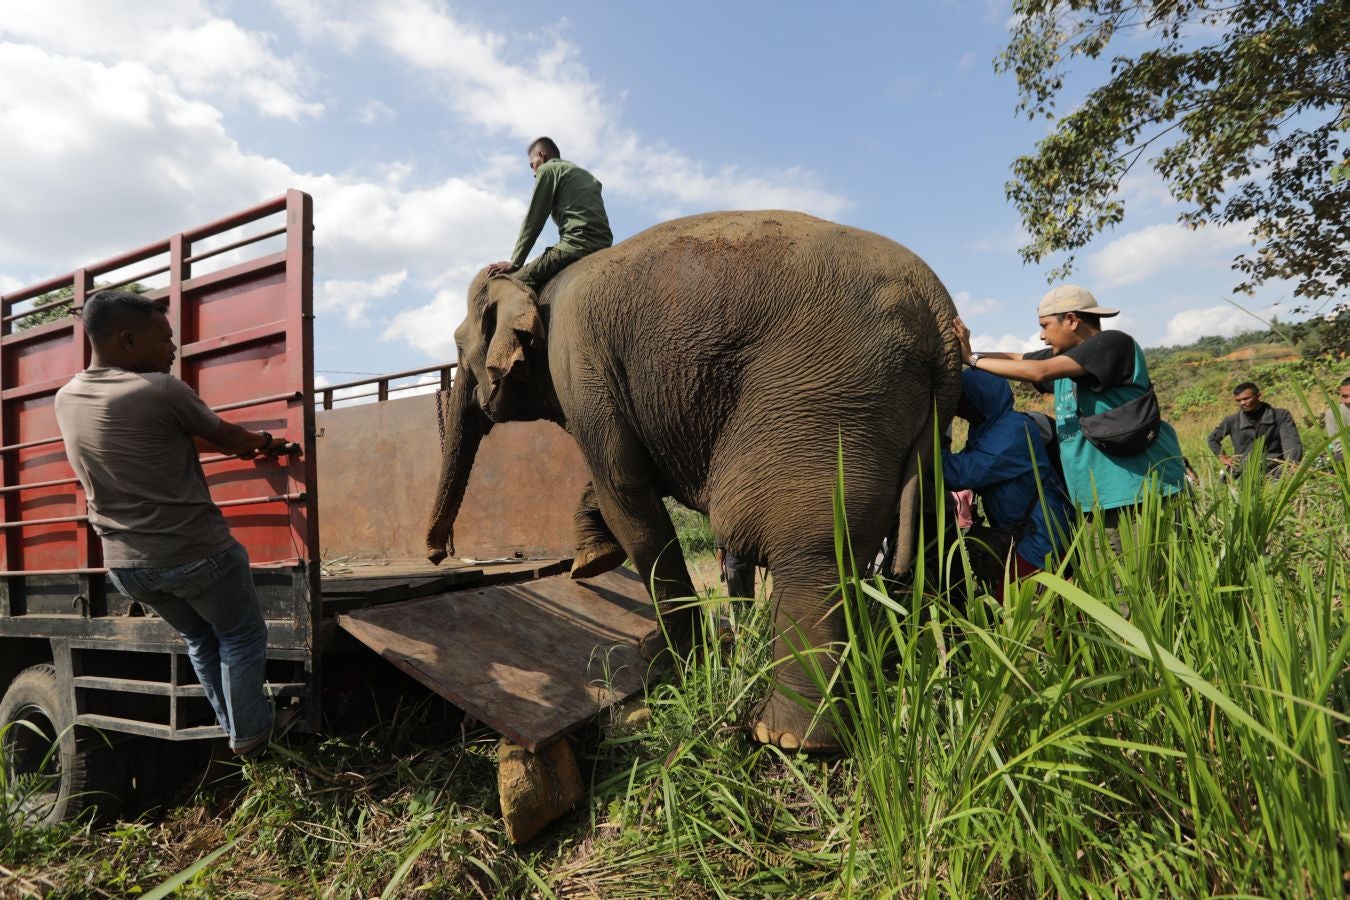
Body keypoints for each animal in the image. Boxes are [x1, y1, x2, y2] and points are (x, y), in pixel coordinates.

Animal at [426, 211, 966, 755]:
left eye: (458, 346)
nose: (432, 554)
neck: (536, 286)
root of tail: (940, 315)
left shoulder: (579, 364)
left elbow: (625, 491)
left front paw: (669, 659)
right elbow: (617, 482)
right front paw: (592, 563)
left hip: (830, 402)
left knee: (811, 552)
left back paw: (786, 738)